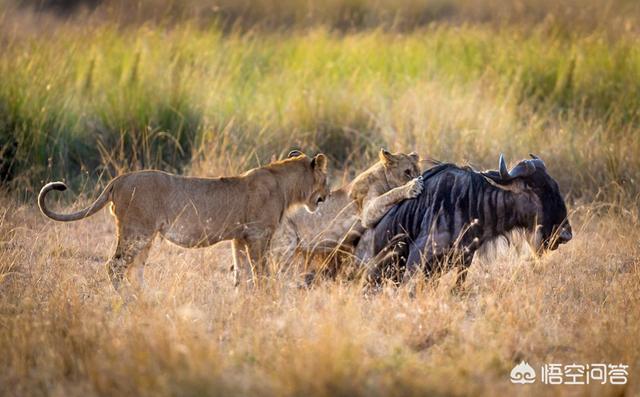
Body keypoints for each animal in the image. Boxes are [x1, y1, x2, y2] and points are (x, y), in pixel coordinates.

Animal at [38, 152, 330, 294]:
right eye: (326, 179)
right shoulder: (258, 236)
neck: (287, 185)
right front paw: (266, 297)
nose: (326, 196)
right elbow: (261, 272)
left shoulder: (240, 237)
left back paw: (148, 299)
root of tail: (119, 179)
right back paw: (127, 300)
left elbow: (241, 273)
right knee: (115, 267)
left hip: (145, 236)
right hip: (136, 232)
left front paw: (243, 299)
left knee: (135, 270)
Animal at [268, 148, 422, 276]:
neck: (382, 175)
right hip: (285, 246)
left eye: (419, 171)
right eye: (407, 172)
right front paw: (413, 187)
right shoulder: (367, 211)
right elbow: (390, 194)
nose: (420, 177)